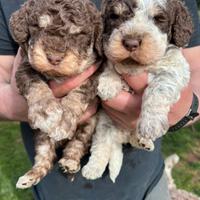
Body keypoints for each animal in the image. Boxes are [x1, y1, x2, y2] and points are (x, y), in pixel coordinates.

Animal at [9, 0, 101, 189]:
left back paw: (69, 162)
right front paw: (46, 111)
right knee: (45, 157)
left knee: (78, 143)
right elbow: (35, 83)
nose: (54, 58)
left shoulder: (95, 73)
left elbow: (80, 90)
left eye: (78, 34)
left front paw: (65, 118)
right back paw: (30, 176)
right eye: (38, 27)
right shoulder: (25, 66)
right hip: (42, 135)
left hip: (90, 124)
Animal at [82, 0, 193, 183]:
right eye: (115, 16)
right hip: (104, 125)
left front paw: (150, 123)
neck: (136, 66)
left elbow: (159, 87)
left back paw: (144, 141)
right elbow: (111, 64)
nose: (131, 43)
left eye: (159, 18)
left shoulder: (175, 67)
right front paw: (108, 83)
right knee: (101, 145)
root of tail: (121, 136)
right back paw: (93, 168)